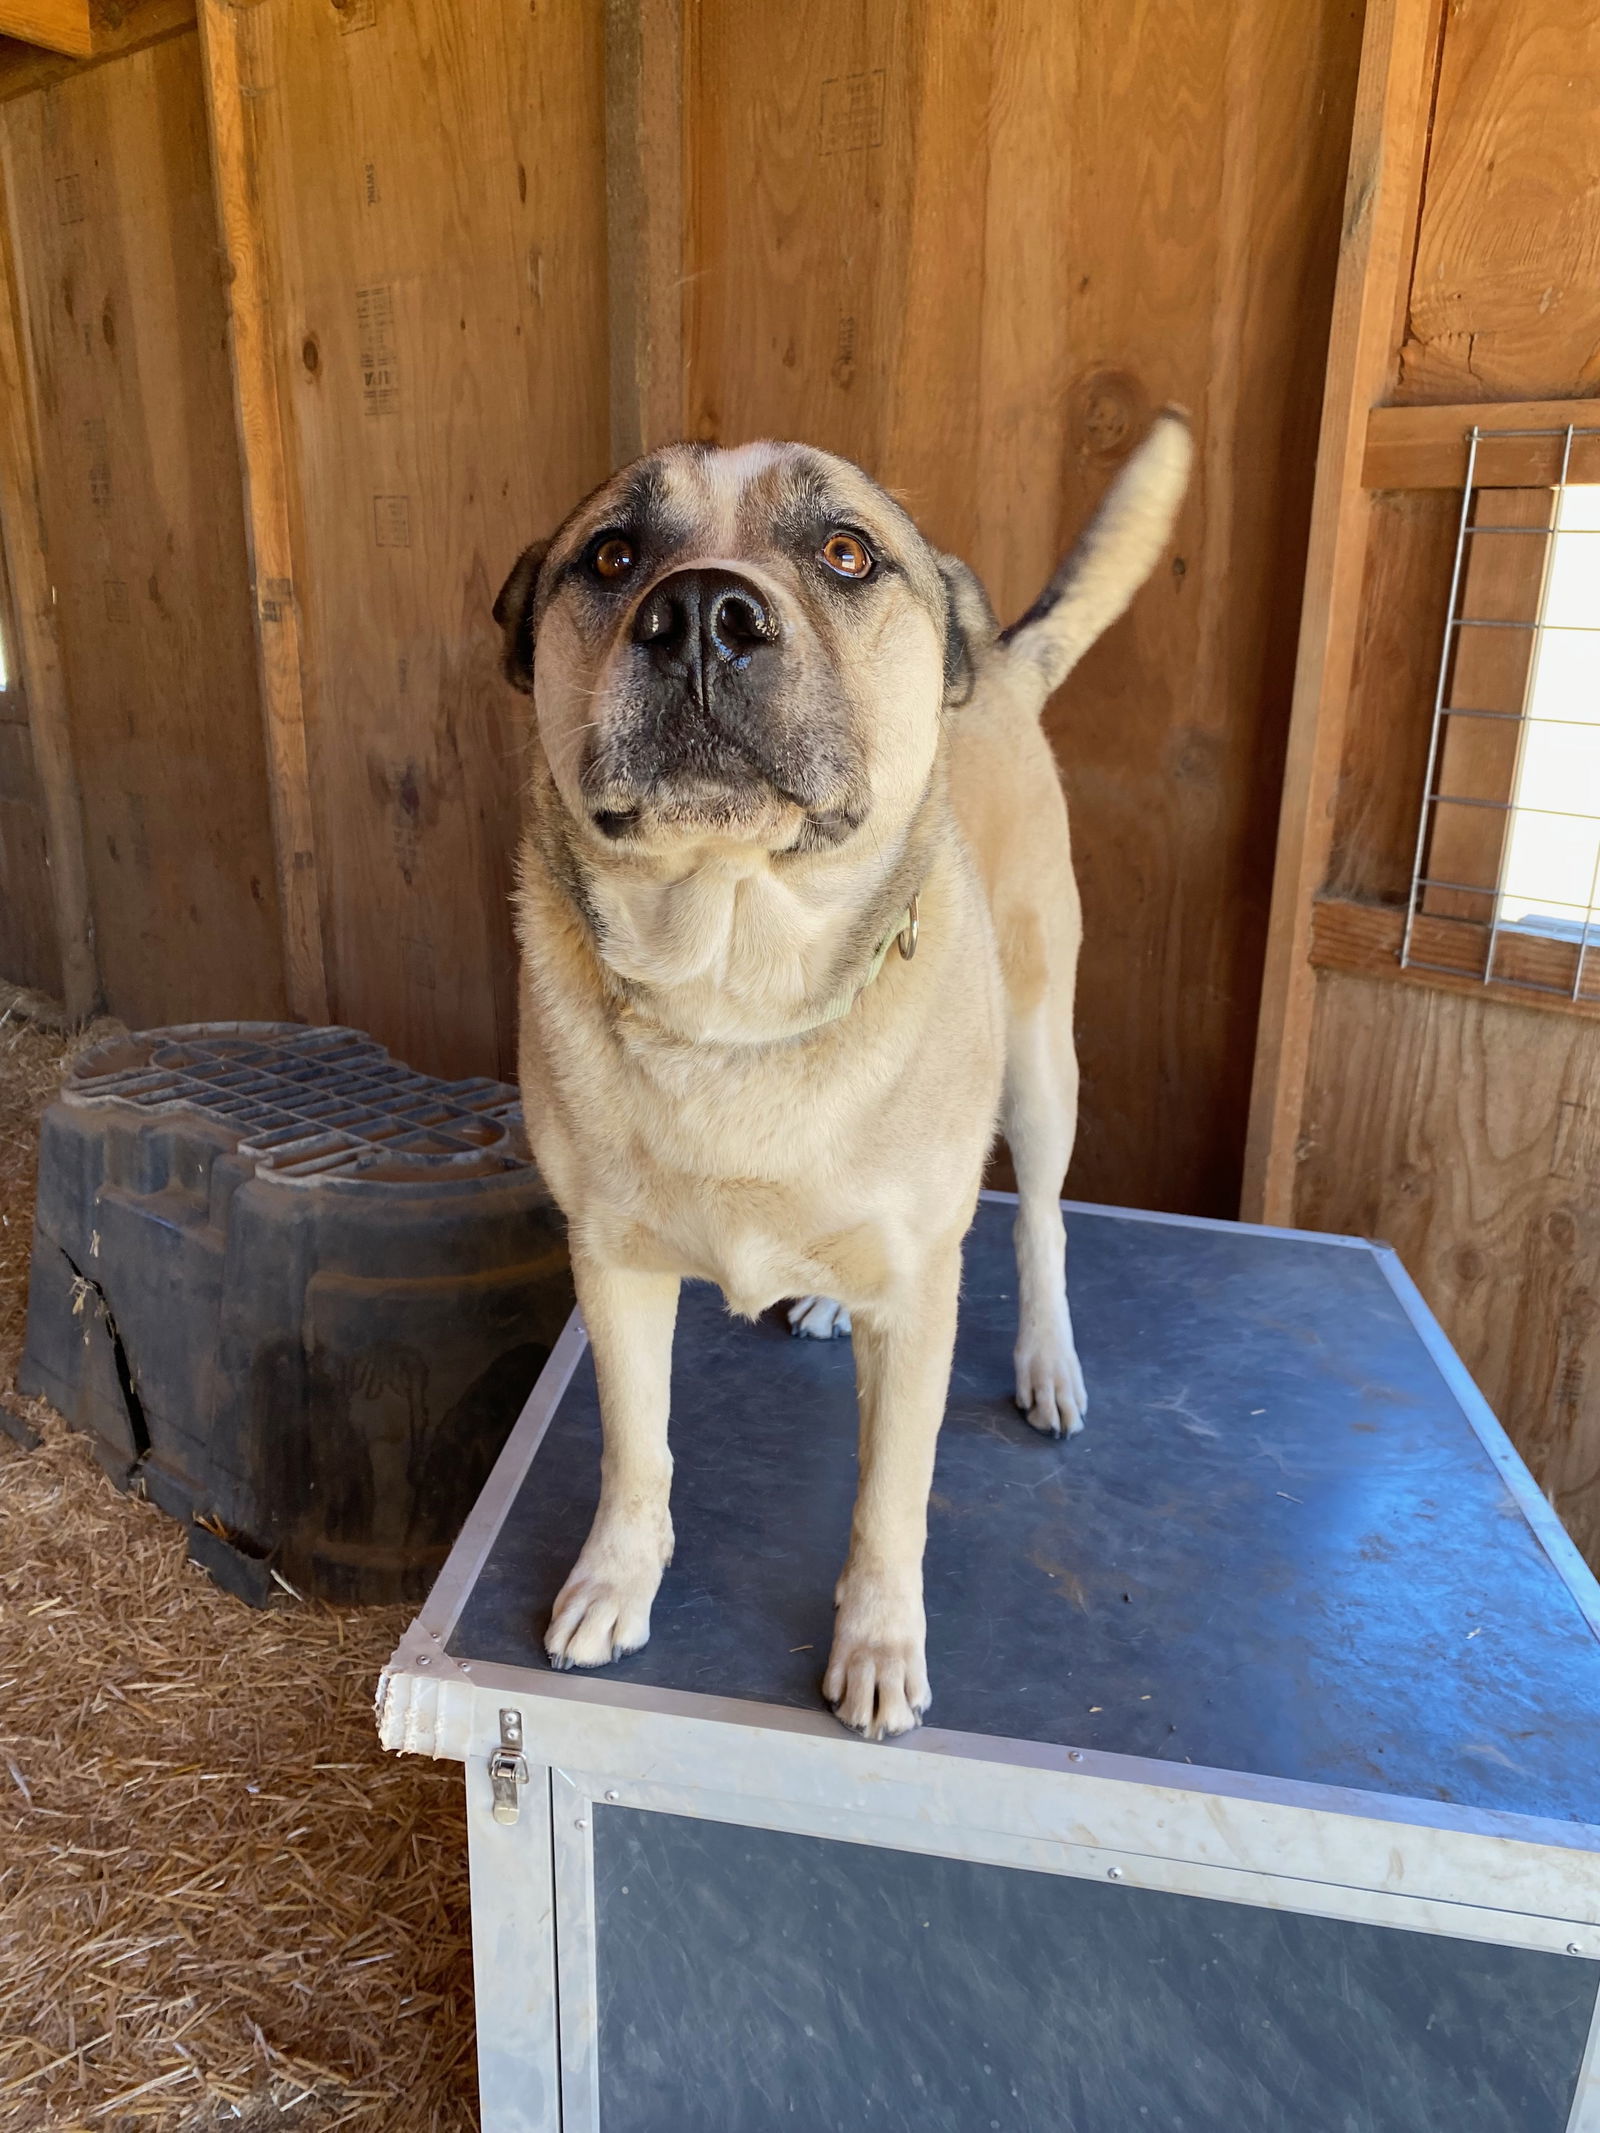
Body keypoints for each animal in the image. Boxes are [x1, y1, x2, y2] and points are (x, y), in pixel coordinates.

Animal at [499, 411, 1194, 1731]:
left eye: (844, 552)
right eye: (612, 557)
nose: (700, 613)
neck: (735, 988)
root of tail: (999, 664)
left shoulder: (919, 1304)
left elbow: (890, 1501)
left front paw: (876, 1643)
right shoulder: (610, 1265)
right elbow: (634, 1446)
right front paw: (617, 1577)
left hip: (1042, 1068)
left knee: (1038, 1221)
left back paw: (1046, 1359)